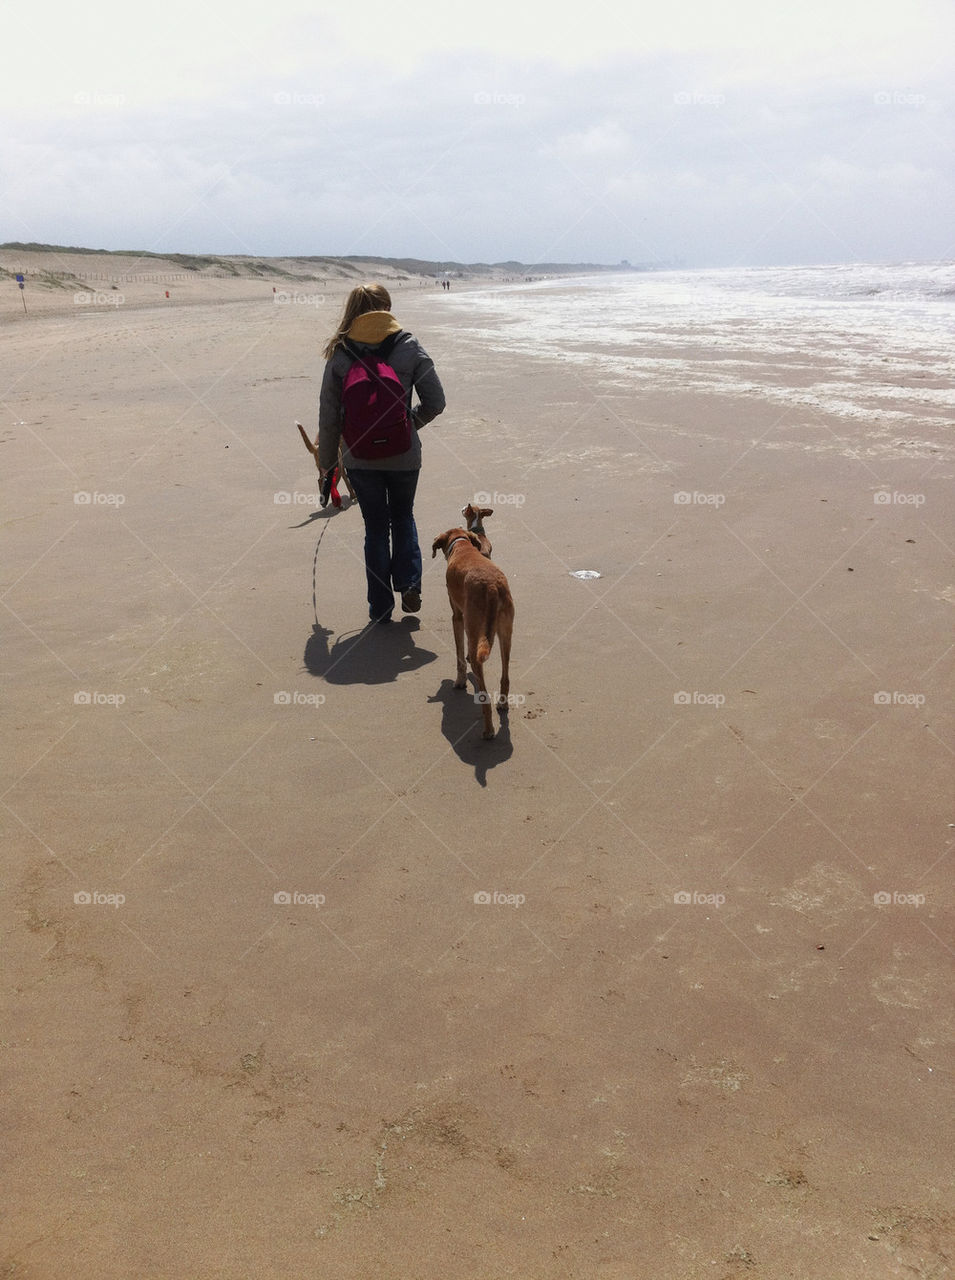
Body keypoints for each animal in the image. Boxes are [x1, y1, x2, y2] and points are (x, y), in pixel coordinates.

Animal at [432, 524, 514, 737]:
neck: (462, 544)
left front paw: (460, 681)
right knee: (505, 676)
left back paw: (488, 731)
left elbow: (460, 654)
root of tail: (492, 586)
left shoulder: (457, 617)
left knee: (484, 696)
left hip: (474, 626)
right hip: (505, 634)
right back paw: (502, 704)